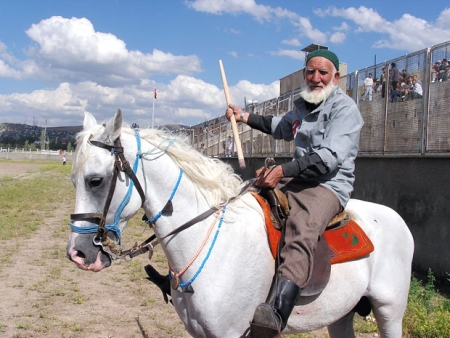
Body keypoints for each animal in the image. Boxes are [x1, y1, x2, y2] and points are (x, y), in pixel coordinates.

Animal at [67, 111, 414, 338]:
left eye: (95, 180)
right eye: (73, 180)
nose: (78, 254)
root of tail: (397, 219)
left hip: (390, 310)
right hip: (342, 313)